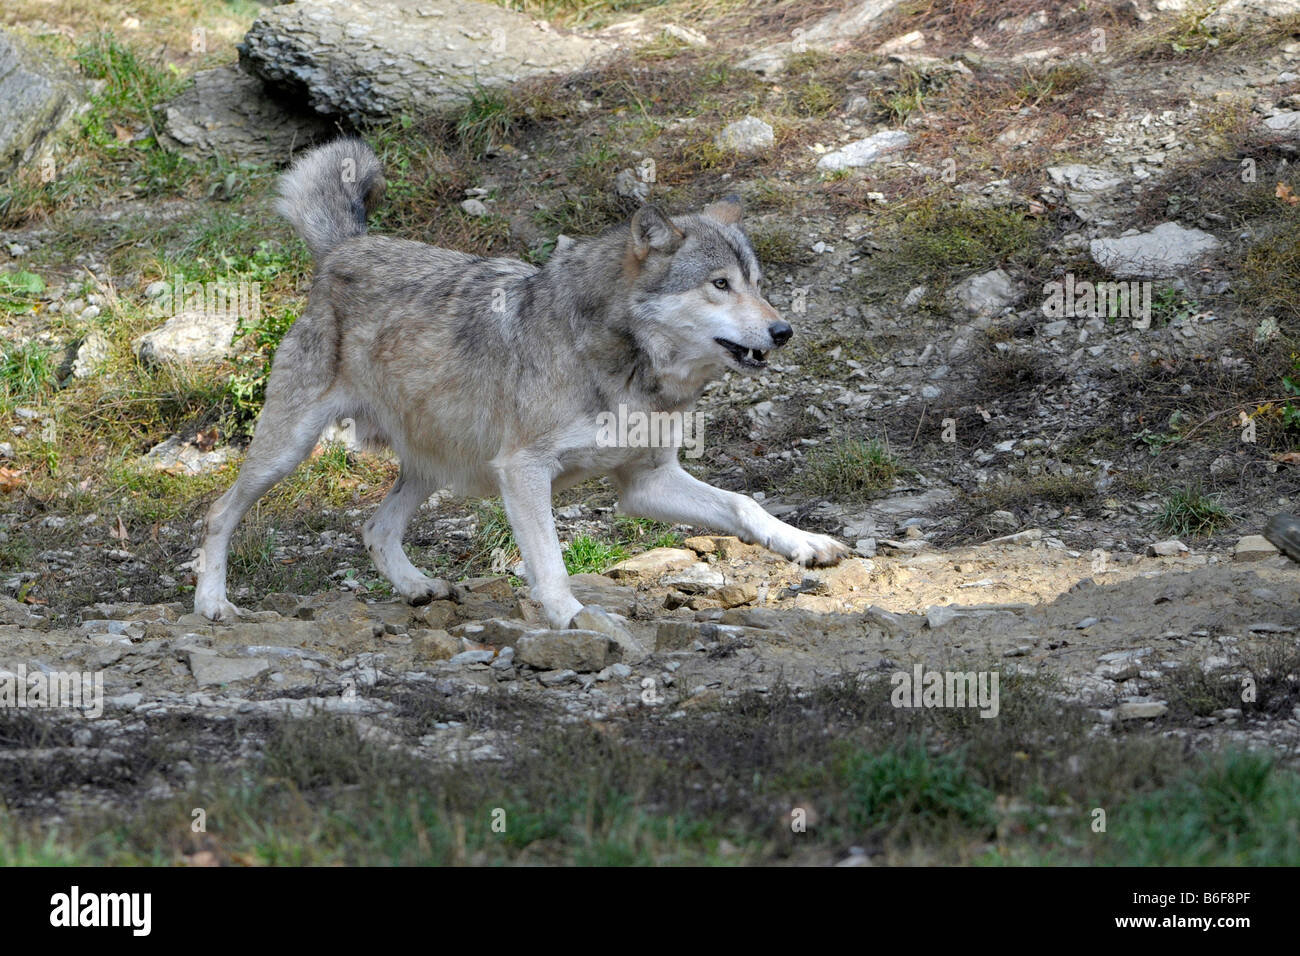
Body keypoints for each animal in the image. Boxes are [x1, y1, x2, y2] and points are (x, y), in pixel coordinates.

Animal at [194, 138, 849, 630]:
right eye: (719, 285)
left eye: (756, 283)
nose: (783, 330)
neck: (624, 367)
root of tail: (345, 246)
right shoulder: (524, 470)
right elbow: (551, 560)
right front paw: (572, 617)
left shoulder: (646, 482)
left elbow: (743, 502)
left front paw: (805, 542)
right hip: (287, 452)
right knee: (220, 511)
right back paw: (213, 603)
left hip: (438, 466)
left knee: (374, 528)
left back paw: (418, 588)